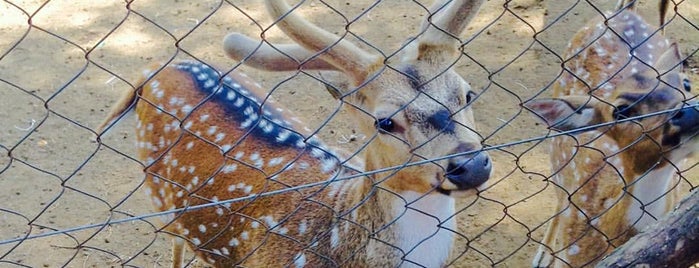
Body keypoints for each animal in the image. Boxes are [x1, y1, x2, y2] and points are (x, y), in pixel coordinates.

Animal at [98, 0, 492, 266]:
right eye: (385, 122)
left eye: (467, 93)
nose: (471, 164)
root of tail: (158, 68)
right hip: (157, 195)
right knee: (176, 239)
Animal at [528, 0, 696, 266]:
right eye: (621, 111)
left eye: (686, 83)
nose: (690, 113)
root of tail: (625, 11)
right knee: (559, 191)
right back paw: (543, 255)